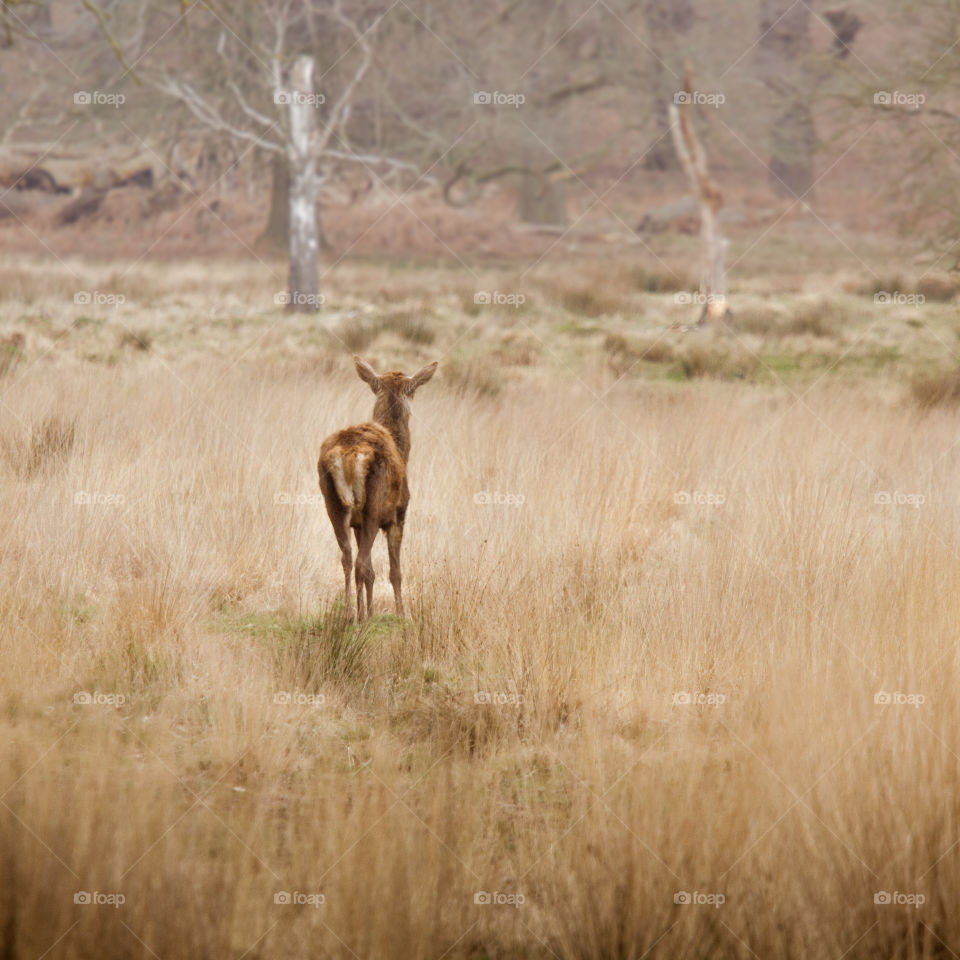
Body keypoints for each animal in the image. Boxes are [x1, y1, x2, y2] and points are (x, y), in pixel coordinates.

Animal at [318, 356, 438, 620]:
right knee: (361, 563)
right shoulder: (398, 514)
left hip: (334, 504)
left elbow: (372, 571)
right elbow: (395, 572)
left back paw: (349, 614)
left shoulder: (357, 524)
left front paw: (369, 610)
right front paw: (401, 614)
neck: (403, 453)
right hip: (373, 505)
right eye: (413, 392)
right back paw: (359, 619)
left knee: (347, 558)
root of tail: (348, 455)